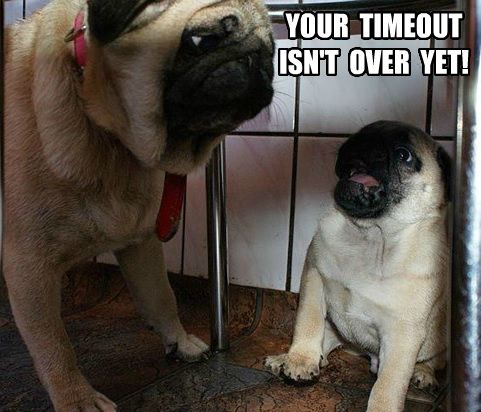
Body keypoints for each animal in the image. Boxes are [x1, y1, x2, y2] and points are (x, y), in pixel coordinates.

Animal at [2, 1, 274, 410]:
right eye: (204, 39)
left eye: (271, 52)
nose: (257, 61)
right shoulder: (29, 267)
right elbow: (54, 343)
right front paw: (76, 397)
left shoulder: (139, 241)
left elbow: (161, 297)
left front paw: (179, 341)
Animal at [264, 121, 448, 412]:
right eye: (361, 133)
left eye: (404, 154)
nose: (363, 143)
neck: (370, 236)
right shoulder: (314, 278)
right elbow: (308, 320)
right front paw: (300, 359)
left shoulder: (403, 333)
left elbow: (389, 383)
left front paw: (382, 406)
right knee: (325, 338)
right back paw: (289, 358)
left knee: (431, 361)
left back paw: (424, 374)